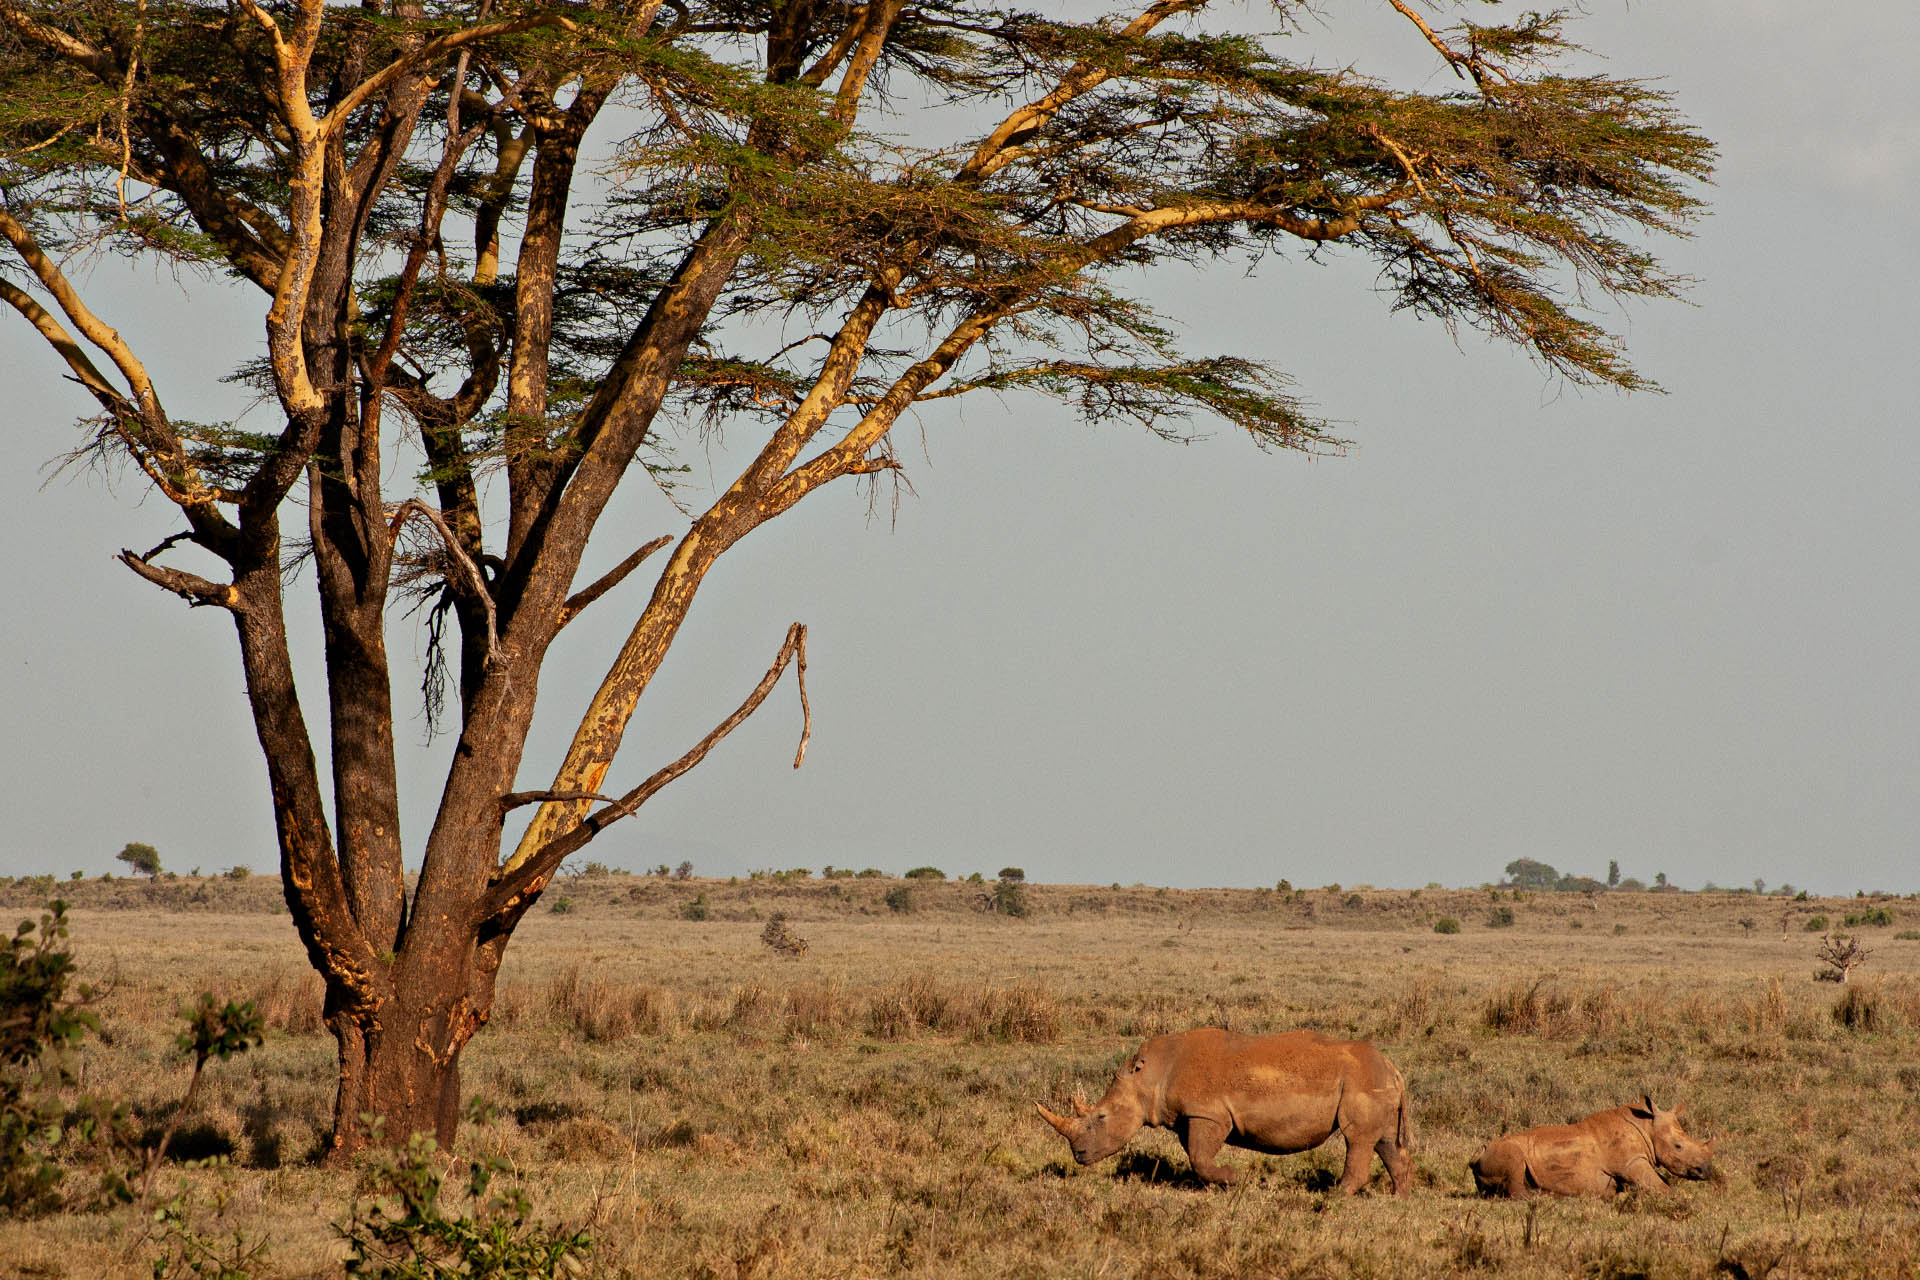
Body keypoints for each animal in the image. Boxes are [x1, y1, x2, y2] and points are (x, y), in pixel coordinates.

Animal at [1035, 1027, 1413, 1195]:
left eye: (1100, 1118)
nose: (1078, 1155)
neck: (1150, 1075)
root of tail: (1394, 1068)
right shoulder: (1190, 1118)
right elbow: (1196, 1156)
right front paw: (1216, 1184)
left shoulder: (1209, 1113)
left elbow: (1201, 1157)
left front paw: (1233, 1179)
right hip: (1375, 1082)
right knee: (1383, 1142)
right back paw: (1397, 1198)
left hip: (1363, 1080)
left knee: (1358, 1139)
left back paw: (1334, 1196)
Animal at [1470, 1096, 1715, 1197]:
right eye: (1678, 1146)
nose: (1706, 1171)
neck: (1647, 1125)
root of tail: (1479, 1154)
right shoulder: (1631, 1162)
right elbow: (1662, 1187)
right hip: (1502, 1150)